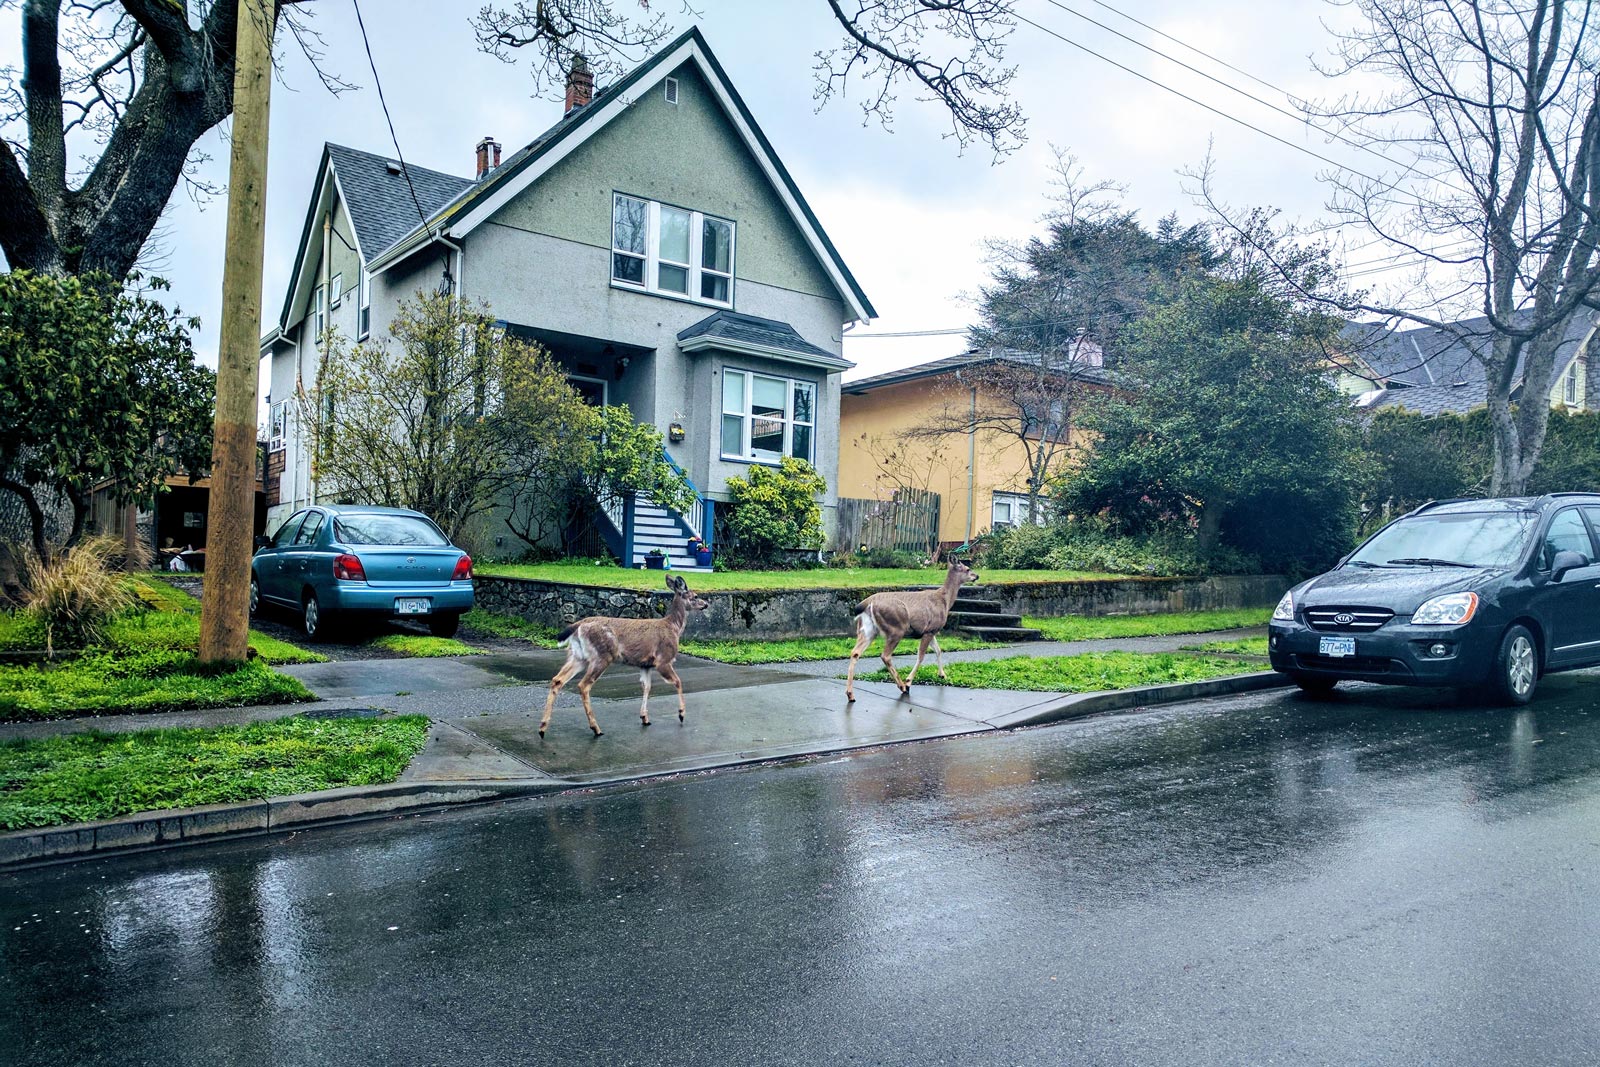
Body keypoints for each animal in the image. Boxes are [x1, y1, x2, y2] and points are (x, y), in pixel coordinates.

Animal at [540, 572, 710, 739]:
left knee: (557, 680)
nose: (706, 604)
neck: (674, 627)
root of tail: (578, 626)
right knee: (583, 685)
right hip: (602, 655)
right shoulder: (663, 659)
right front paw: (681, 714)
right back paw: (596, 728)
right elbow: (678, 682)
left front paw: (644, 718)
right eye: (695, 596)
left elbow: (646, 686)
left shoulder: (645, 664)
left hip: (578, 655)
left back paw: (542, 728)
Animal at [851, 556, 972, 703]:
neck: (945, 600)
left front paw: (942, 675)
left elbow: (938, 650)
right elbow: (921, 656)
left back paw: (850, 695)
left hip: (867, 630)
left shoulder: (931, 631)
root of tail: (867, 604)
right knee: (885, 655)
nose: (977, 576)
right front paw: (909, 682)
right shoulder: (929, 630)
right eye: (968, 569)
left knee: (855, 652)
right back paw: (902, 686)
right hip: (896, 629)